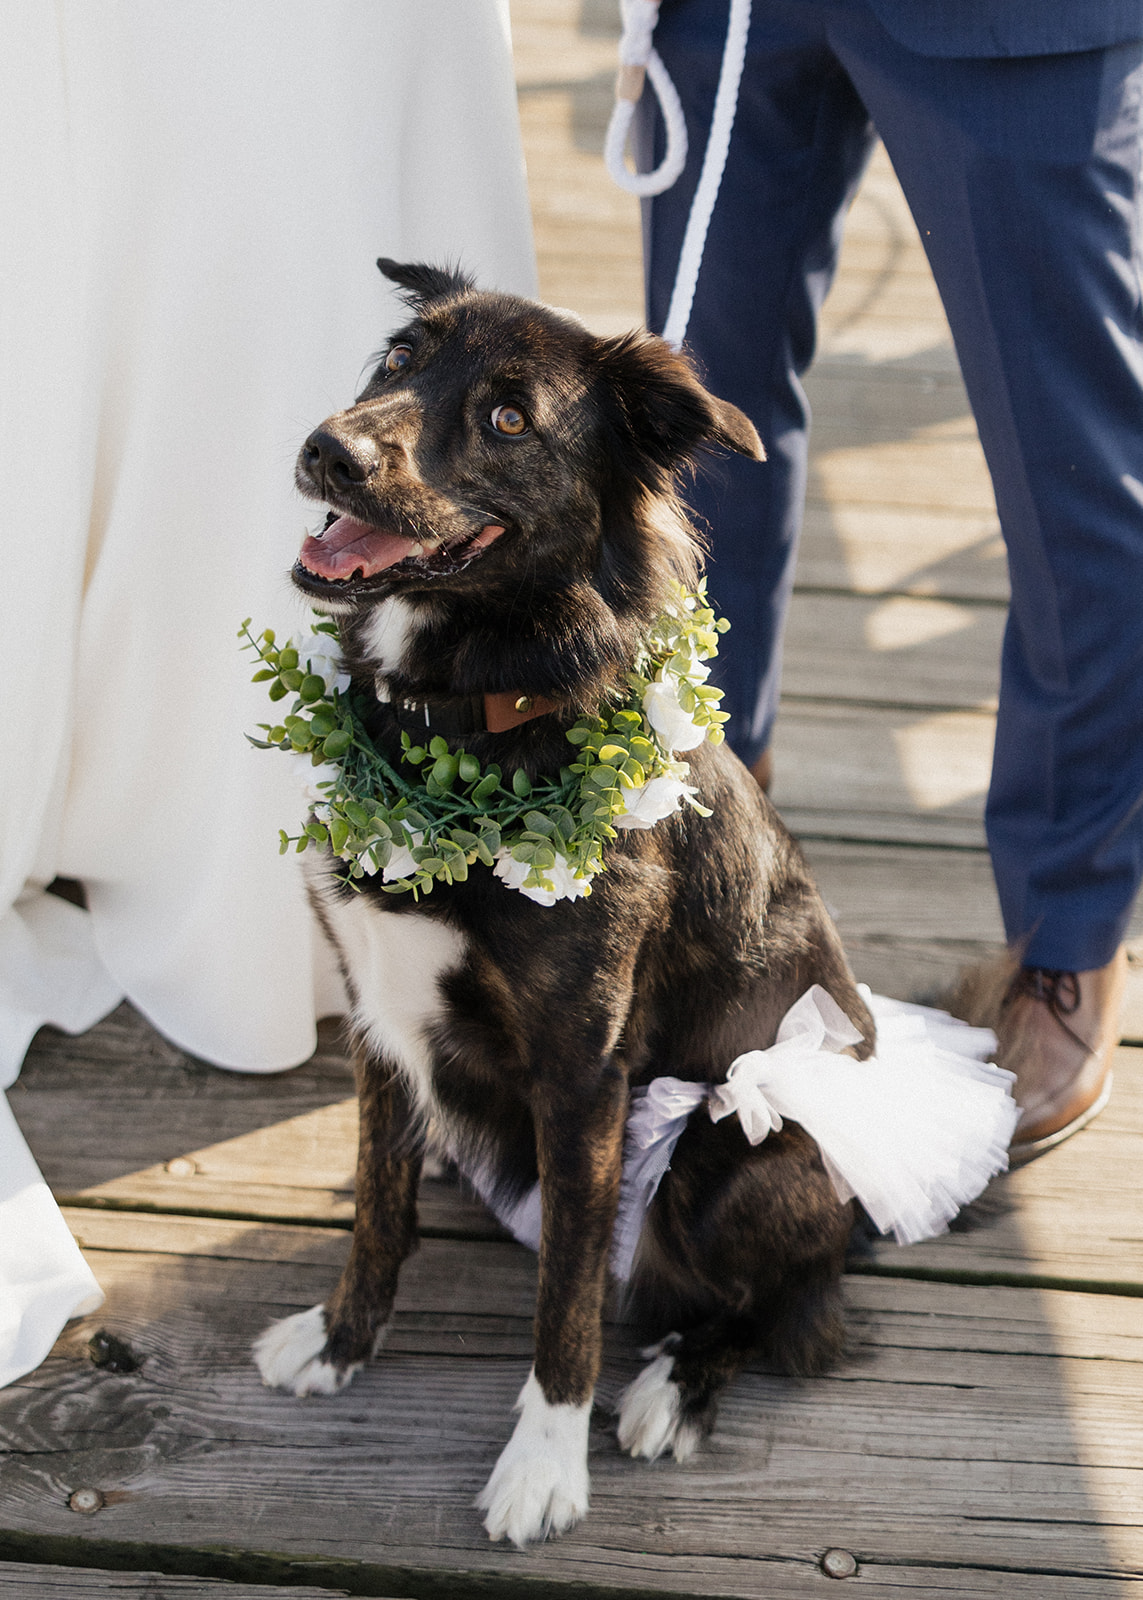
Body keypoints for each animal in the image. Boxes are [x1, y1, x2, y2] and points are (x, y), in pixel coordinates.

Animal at [251, 262, 870, 1548]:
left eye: (507, 418)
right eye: (398, 359)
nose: (329, 449)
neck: (461, 726)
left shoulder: (584, 1072)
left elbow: (570, 1293)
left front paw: (545, 1463)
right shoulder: (376, 1022)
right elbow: (376, 1209)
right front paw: (340, 1342)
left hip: (737, 1156)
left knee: (797, 1302)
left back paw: (676, 1385)